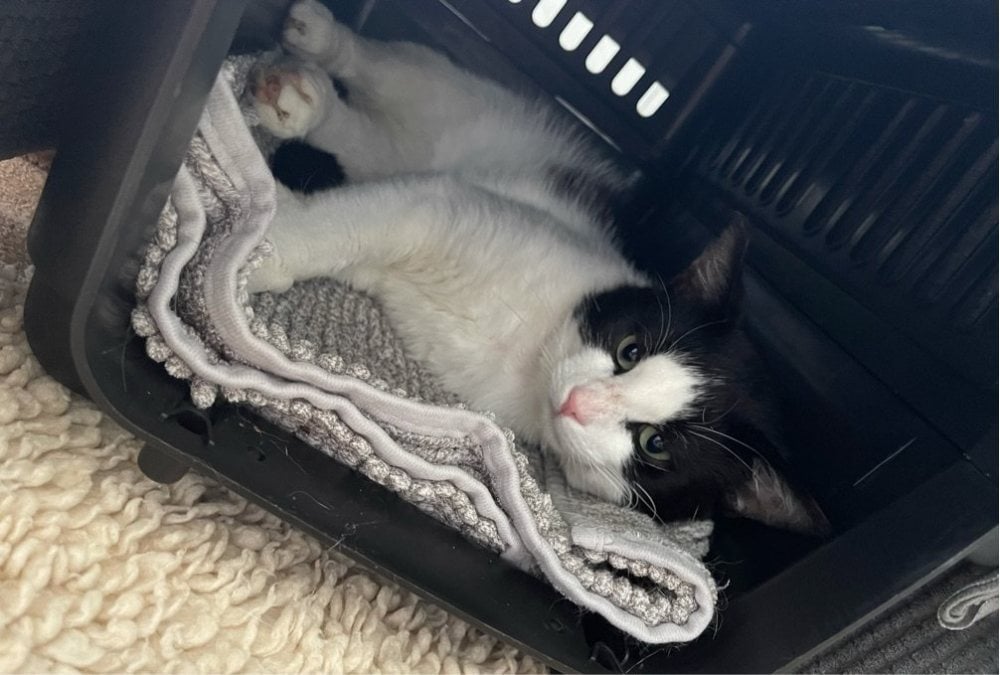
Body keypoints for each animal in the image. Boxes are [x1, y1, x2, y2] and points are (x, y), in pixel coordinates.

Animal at [246, 0, 828, 535]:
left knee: (372, 146)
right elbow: (362, 221)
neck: (532, 355)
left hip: (416, 153)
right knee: (399, 71)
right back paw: (320, 45)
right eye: (630, 350)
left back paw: (304, 104)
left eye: (655, 444)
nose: (579, 402)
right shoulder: (451, 207)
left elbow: (366, 227)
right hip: (474, 108)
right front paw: (268, 243)